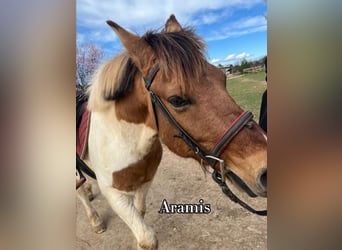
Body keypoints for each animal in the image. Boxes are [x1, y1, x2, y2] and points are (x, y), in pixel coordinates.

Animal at [76, 14, 266, 249]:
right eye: (176, 100)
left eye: (222, 78)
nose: (265, 170)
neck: (122, 140)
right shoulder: (114, 194)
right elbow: (147, 238)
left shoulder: (144, 183)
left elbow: (140, 214)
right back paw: (95, 220)